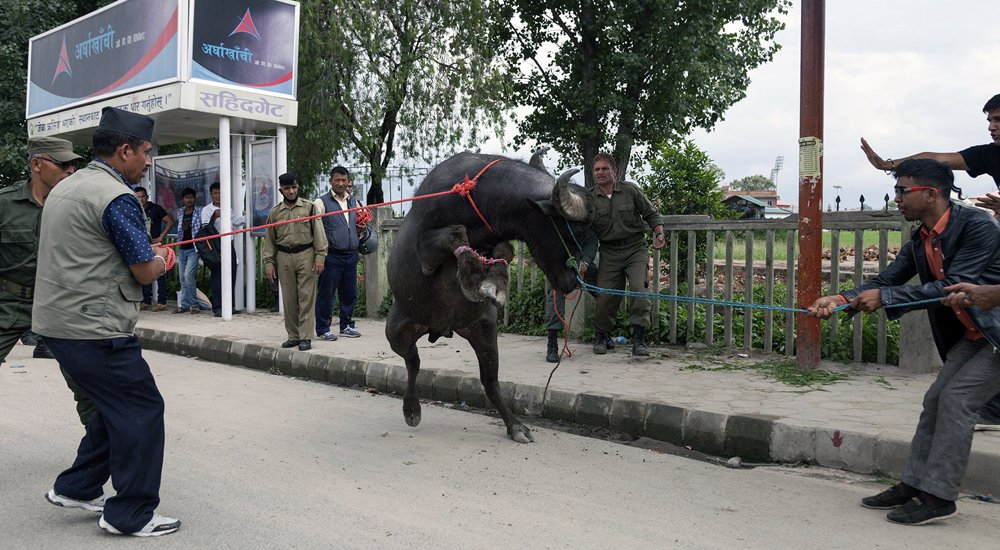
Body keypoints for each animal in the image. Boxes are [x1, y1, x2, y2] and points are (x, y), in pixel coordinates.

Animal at [388, 151, 592, 444]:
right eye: (578, 231)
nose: (575, 280)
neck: (479, 203)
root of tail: (441, 329)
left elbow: (504, 249)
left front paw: (492, 283)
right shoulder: (425, 252)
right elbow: (456, 234)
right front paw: (472, 273)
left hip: (482, 330)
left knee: (490, 382)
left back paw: (516, 426)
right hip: (396, 330)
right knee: (413, 360)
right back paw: (412, 409)